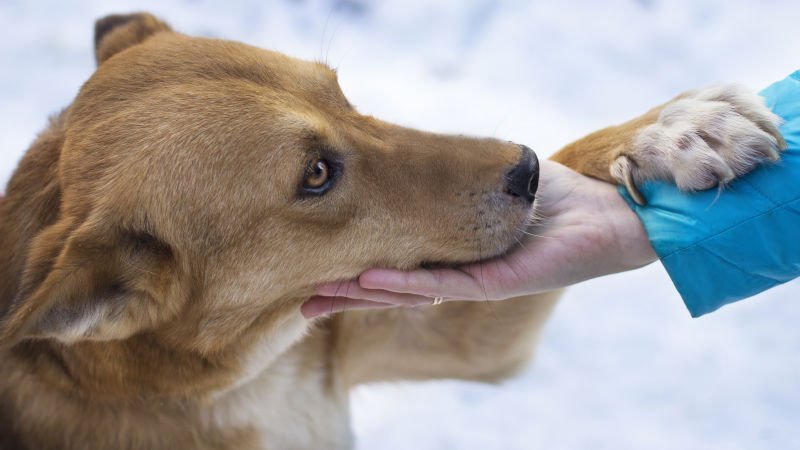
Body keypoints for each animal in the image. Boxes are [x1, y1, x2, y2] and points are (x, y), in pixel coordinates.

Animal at [0, 12, 788, 448]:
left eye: (343, 94)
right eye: (316, 175)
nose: (526, 170)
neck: (240, 381)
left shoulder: (449, 339)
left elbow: (582, 146)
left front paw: (670, 132)